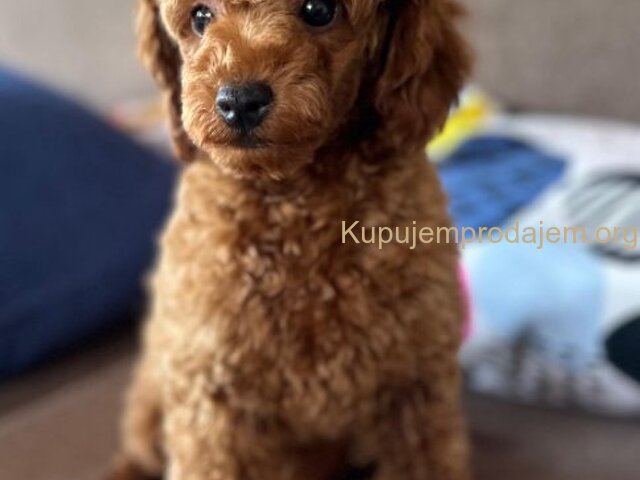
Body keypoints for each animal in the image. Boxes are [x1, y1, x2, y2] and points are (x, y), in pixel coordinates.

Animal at [108, 0, 472, 479]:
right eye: (200, 17)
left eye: (320, 10)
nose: (239, 102)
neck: (295, 204)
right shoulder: (214, 395)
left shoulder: (415, 385)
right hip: (154, 400)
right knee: (137, 449)